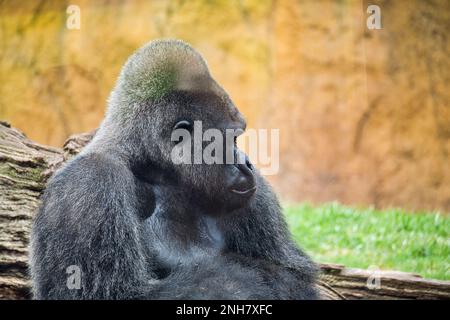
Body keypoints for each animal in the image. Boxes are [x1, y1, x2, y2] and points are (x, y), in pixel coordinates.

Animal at [29, 40, 318, 300]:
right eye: (232, 139)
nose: (247, 163)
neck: (153, 167)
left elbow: (292, 274)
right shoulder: (90, 182)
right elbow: (110, 294)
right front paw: (245, 279)